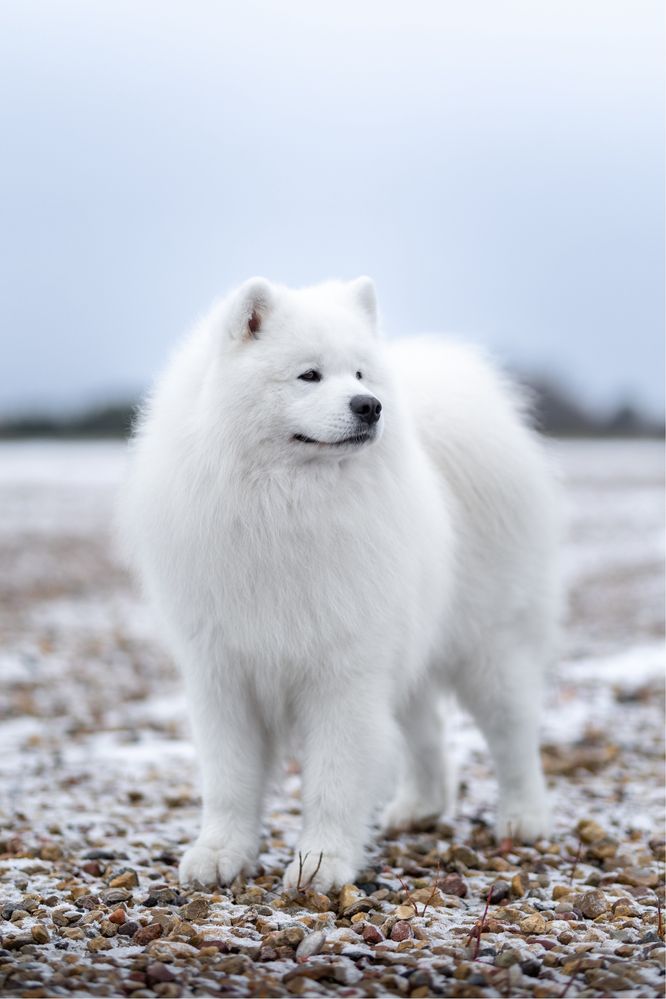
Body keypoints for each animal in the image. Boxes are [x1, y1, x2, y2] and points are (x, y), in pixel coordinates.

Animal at [116, 276, 556, 892]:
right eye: (310, 375)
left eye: (361, 374)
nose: (369, 406)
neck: (286, 508)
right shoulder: (222, 673)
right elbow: (229, 779)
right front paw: (220, 852)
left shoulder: (343, 673)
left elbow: (333, 779)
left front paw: (320, 864)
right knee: (426, 731)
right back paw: (420, 807)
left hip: (491, 649)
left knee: (514, 737)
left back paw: (523, 818)